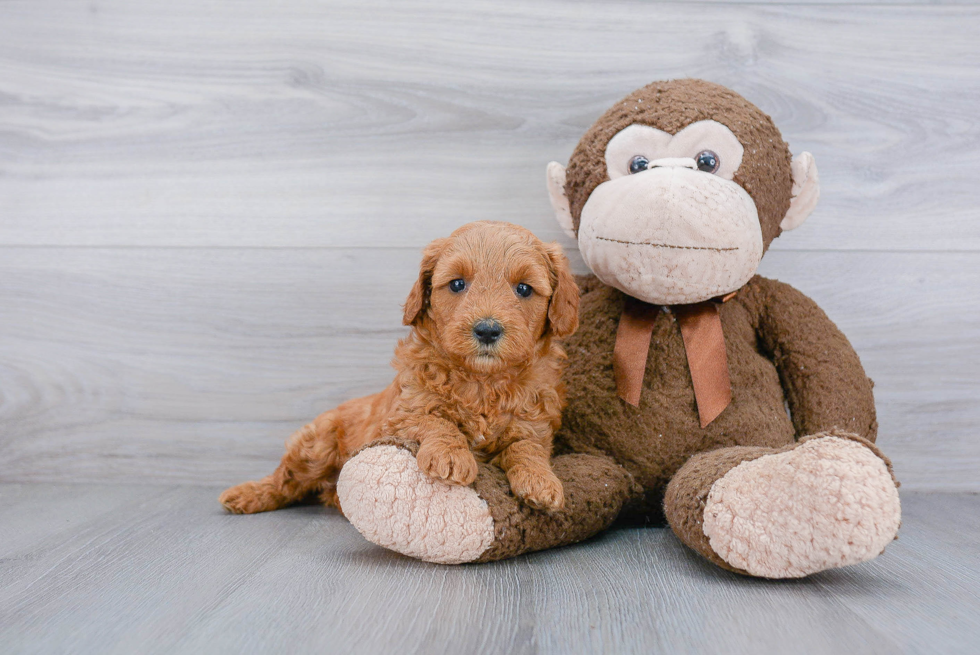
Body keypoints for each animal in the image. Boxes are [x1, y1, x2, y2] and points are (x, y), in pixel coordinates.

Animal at [218, 223, 580, 516]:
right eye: (457, 284)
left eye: (524, 289)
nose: (487, 330)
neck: (482, 381)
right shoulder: (401, 415)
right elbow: (435, 421)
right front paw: (451, 456)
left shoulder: (534, 424)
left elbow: (527, 447)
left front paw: (540, 481)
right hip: (315, 444)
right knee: (285, 480)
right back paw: (246, 494)